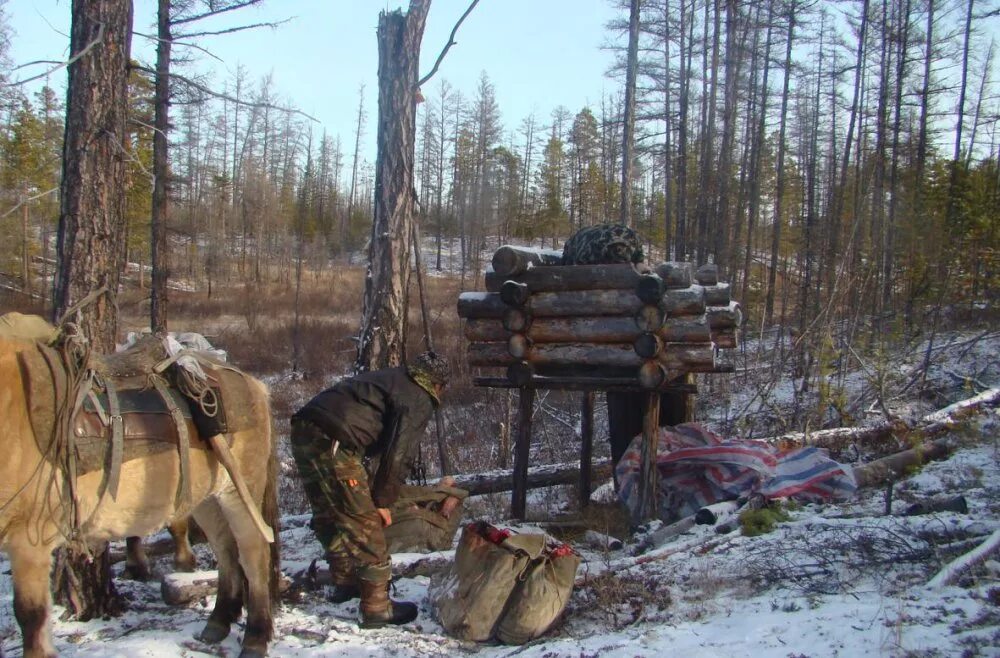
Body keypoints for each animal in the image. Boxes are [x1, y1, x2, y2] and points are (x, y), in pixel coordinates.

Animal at [0, 338, 282, 656]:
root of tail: (252, 383)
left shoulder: (28, 542)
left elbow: (31, 616)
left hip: (239, 491)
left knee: (253, 554)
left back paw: (256, 637)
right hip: (206, 499)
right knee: (225, 549)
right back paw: (219, 621)